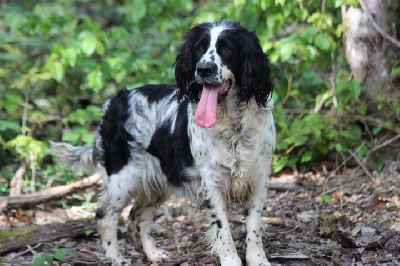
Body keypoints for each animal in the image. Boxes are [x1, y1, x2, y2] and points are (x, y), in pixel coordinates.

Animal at [50, 21, 276, 266]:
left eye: (227, 49)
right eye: (199, 48)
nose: (203, 69)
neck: (232, 123)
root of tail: (114, 102)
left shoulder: (257, 178)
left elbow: (254, 227)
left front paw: (258, 260)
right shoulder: (212, 183)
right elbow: (223, 231)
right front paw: (231, 261)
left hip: (158, 181)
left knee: (138, 217)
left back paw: (153, 254)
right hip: (123, 179)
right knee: (105, 216)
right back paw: (116, 258)